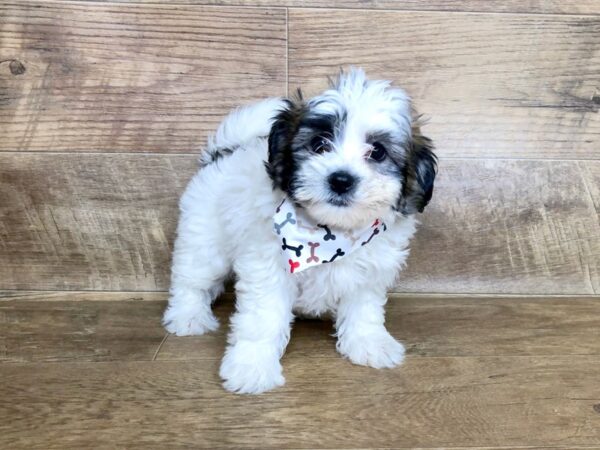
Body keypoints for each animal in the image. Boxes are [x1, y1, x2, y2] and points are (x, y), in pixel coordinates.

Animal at [163, 67, 436, 394]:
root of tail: (223, 153)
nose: (341, 180)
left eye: (378, 152)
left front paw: (369, 343)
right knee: (192, 279)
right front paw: (252, 366)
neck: (333, 231)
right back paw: (188, 316)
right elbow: (263, 318)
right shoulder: (267, 269)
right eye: (319, 144)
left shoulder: (369, 272)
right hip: (204, 237)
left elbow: (364, 309)